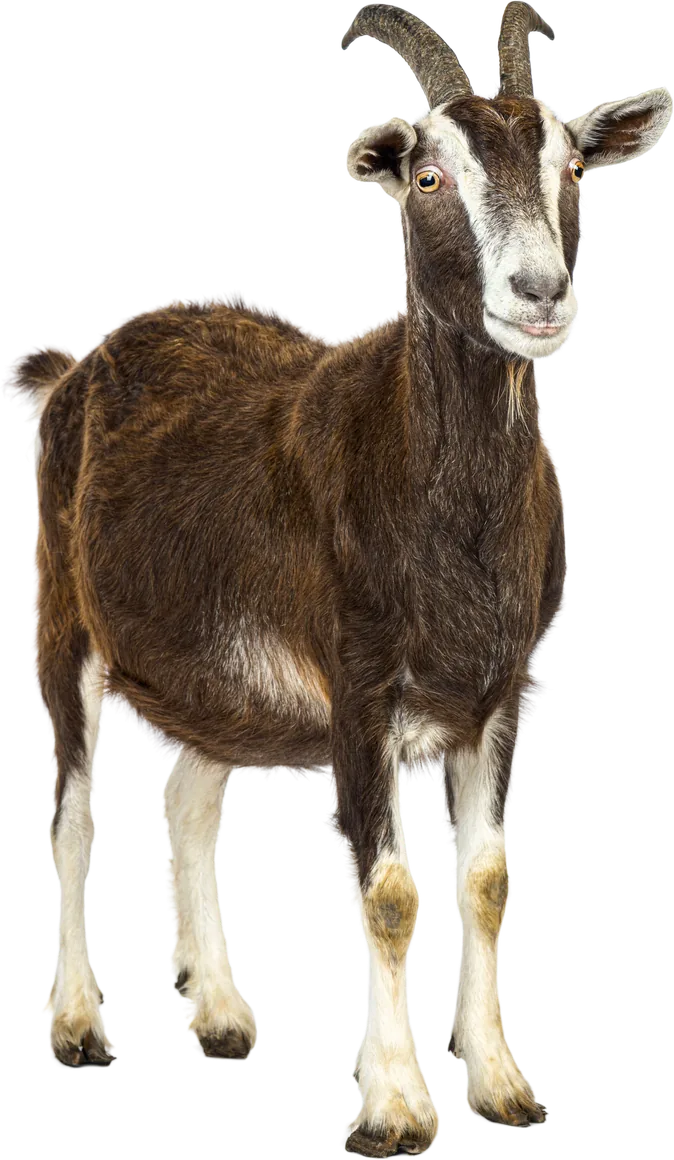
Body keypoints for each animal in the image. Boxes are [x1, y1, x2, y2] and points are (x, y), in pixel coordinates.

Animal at [6, 0, 670, 1149]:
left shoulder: (501, 695)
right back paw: (81, 1023)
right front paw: (396, 1107)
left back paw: (222, 1016)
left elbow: (485, 879)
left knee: (188, 800)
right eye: (428, 176)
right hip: (66, 625)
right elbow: (392, 889)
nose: (539, 294)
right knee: (73, 810)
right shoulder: (359, 691)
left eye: (576, 166)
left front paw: (500, 1088)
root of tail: (80, 367)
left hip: (213, 677)